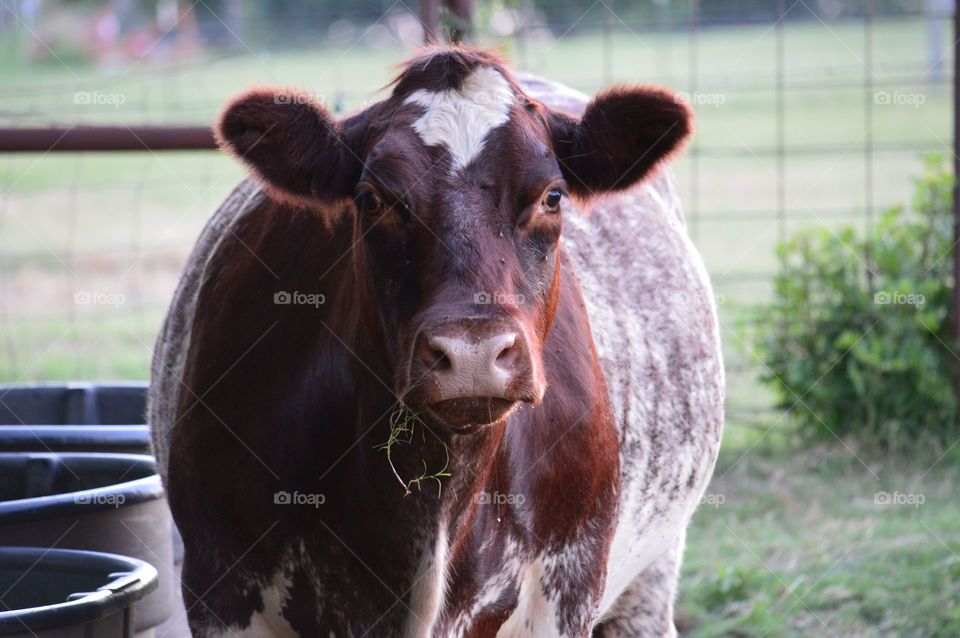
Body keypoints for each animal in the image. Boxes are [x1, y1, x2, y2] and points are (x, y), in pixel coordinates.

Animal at [148, 46, 720, 638]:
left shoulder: (566, 593)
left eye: (552, 196)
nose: (473, 354)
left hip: (650, 577)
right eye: (372, 198)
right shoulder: (220, 589)